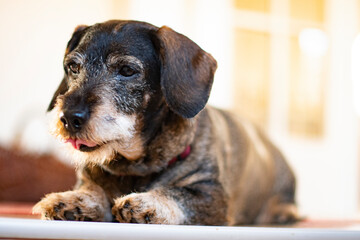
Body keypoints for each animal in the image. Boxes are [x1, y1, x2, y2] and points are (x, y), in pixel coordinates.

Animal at [33, 20, 298, 225]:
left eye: (127, 70)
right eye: (73, 66)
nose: (69, 118)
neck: (132, 166)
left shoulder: (212, 196)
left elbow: (178, 194)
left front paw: (147, 203)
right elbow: (93, 190)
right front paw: (70, 200)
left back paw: (283, 211)